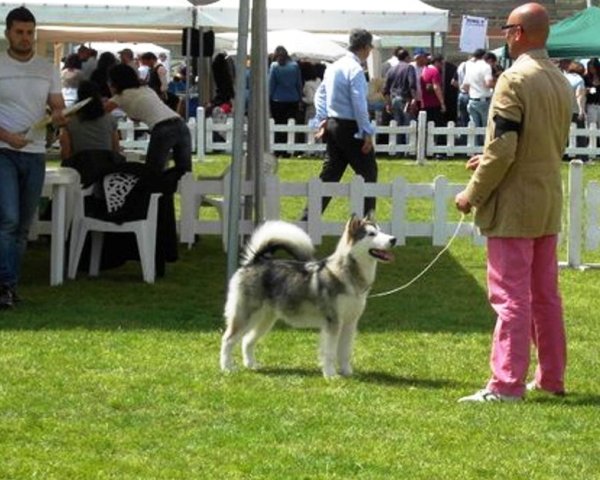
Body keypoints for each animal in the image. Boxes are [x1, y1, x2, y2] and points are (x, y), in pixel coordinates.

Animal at [218, 214, 396, 378]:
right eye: (371, 234)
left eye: (381, 230)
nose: (393, 239)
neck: (348, 274)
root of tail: (254, 262)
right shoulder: (333, 323)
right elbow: (330, 353)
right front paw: (331, 375)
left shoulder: (349, 324)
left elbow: (345, 352)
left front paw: (347, 373)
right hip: (244, 316)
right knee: (228, 340)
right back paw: (227, 368)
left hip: (265, 320)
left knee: (247, 341)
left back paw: (251, 365)